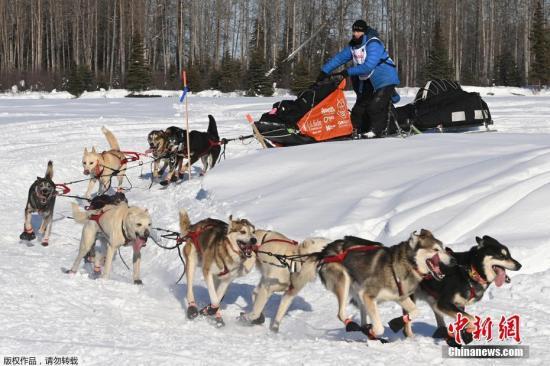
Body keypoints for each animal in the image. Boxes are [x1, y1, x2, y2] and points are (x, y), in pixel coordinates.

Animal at [320, 230, 458, 342]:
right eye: (435, 250)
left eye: (443, 248)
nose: (453, 260)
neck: (406, 264)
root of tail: (328, 248)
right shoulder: (368, 295)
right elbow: (379, 328)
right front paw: (374, 331)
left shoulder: (400, 297)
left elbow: (415, 311)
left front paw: (397, 322)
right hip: (344, 282)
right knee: (341, 314)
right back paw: (354, 326)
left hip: (358, 293)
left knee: (362, 319)